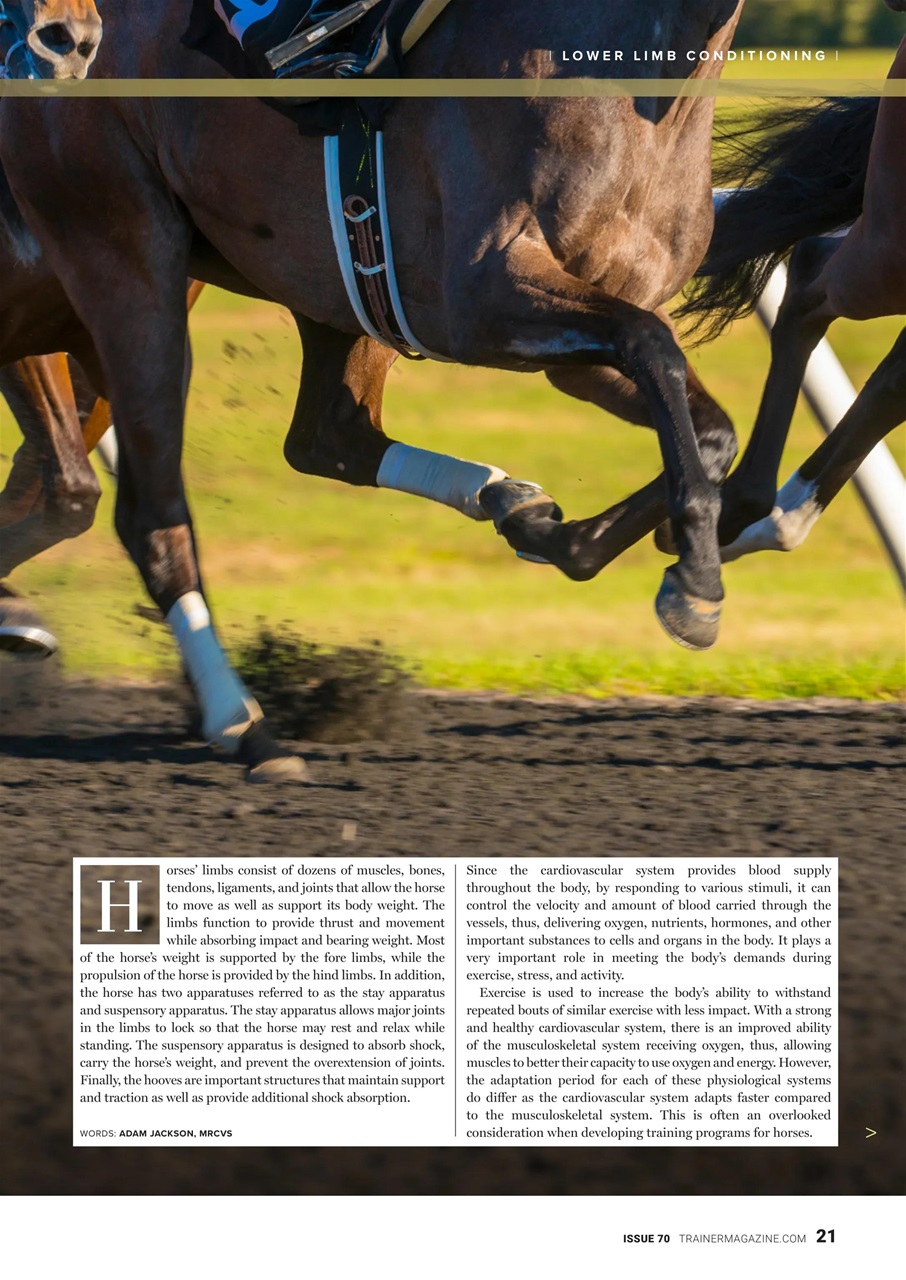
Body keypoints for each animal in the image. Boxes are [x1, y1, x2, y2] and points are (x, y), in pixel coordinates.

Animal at [0, 0, 746, 779]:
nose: (61, 37)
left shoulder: (577, 339)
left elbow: (707, 426)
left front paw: (576, 539)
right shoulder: (479, 299)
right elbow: (653, 348)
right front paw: (697, 582)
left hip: (336, 280)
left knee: (325, 437)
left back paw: (502, 497)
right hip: (124, 255)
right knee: (146, 508)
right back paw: (245, 724)